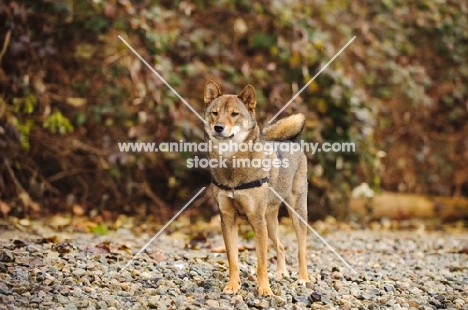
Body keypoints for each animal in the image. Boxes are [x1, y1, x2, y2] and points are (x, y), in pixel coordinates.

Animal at [203, 80, 308, 296]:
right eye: (214, 113)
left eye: (234, 114)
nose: (218, 127)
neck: (232, 167)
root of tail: (291, 142)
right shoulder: (227, 219)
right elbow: (233, 259)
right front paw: (233, 286)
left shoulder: (256, 221)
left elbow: (261, 262)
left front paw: (264, 289)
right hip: (270, 221)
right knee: (281, 246)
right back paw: (281, 273)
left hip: (296, 214)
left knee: (301, 250)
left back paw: (303, 279)